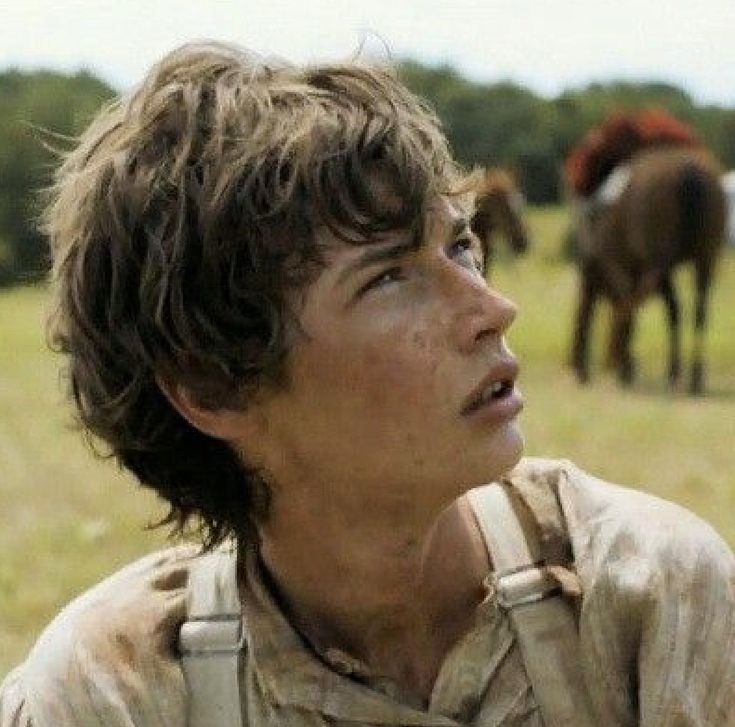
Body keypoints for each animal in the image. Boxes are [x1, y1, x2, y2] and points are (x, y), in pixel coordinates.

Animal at [568, 146, 724, 396]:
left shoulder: (622, 268)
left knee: (636, 304)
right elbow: (670, 311)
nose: (580, 372)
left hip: (656, 265)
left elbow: (627, 308)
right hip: (703, 259)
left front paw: (626, 366)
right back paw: (691, 378)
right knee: (697, 311)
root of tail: (689, 173)